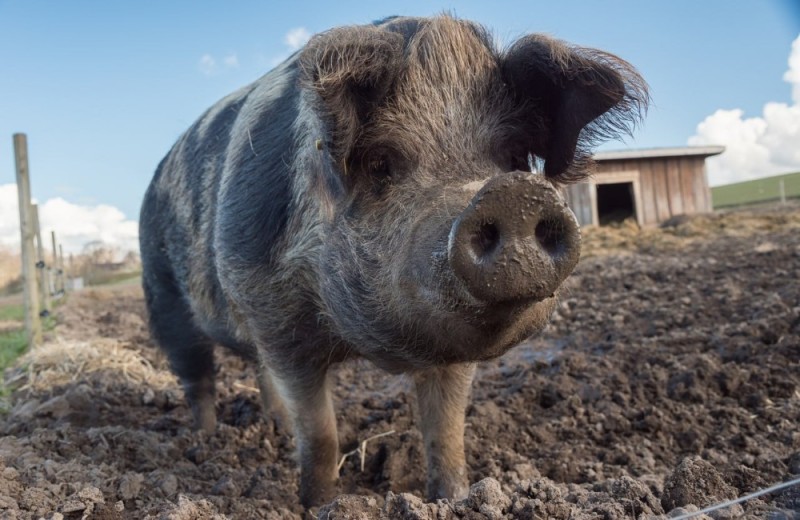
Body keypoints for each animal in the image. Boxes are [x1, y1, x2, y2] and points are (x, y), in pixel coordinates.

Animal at [141, 14, 648, 506]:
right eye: (382, 163)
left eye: (513, 158)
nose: (512, 197)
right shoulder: (275, 318)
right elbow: (321, 435)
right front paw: (316, 506)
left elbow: (447, 430)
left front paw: (455, 499)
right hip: (162, 293)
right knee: (197, 375)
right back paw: (204, 439)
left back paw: (273, 428)